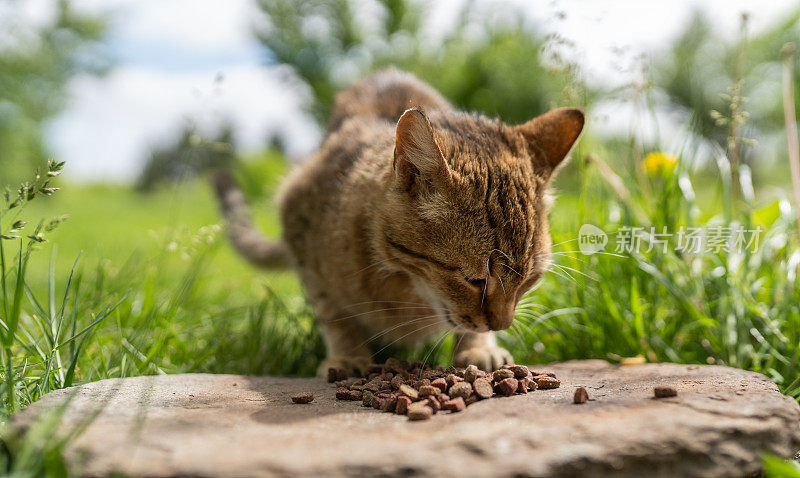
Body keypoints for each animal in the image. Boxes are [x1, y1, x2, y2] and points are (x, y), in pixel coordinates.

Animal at [216, 70, 584, 374]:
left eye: (530, 281)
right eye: (474, 280)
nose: (502, 326)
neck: (408, 290)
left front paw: (479, 349)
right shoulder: (297, 216)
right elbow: (333, 313)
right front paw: (347, 355)